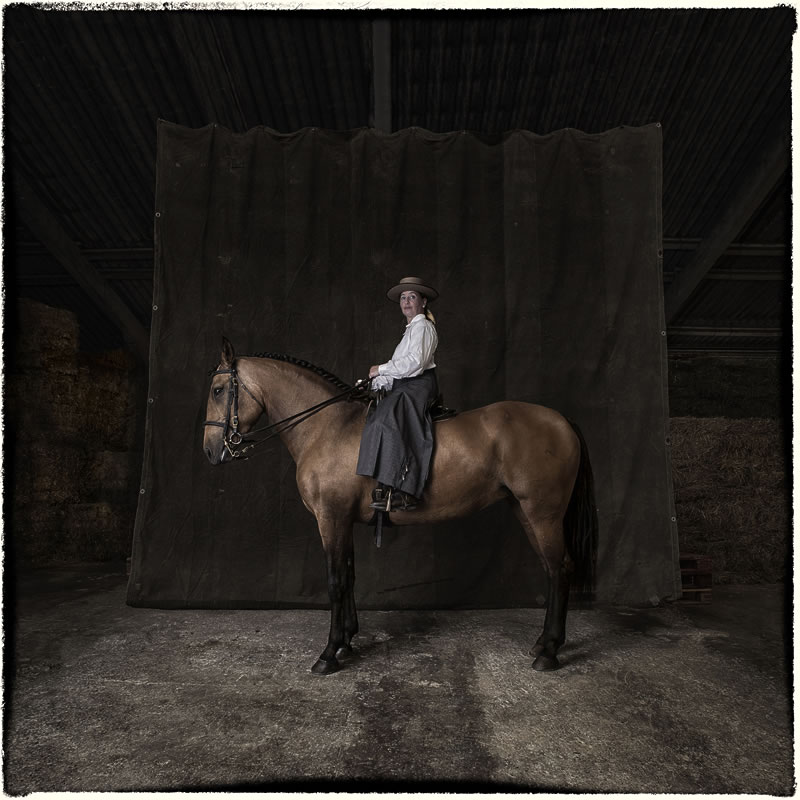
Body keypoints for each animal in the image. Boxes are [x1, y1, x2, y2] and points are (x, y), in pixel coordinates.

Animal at [203, 338, 598, 674]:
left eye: (218, 390)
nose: (210, 450)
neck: (329, 428)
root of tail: (561, 420)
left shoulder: (330, 518)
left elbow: (335, 580)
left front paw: (329, 653)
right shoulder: (343, 520)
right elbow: (349, 575)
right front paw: (347, 640)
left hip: (543, 514)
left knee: (560, 568)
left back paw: (550, 652)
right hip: (526, 511)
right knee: (551, 569)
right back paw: (543, 643)